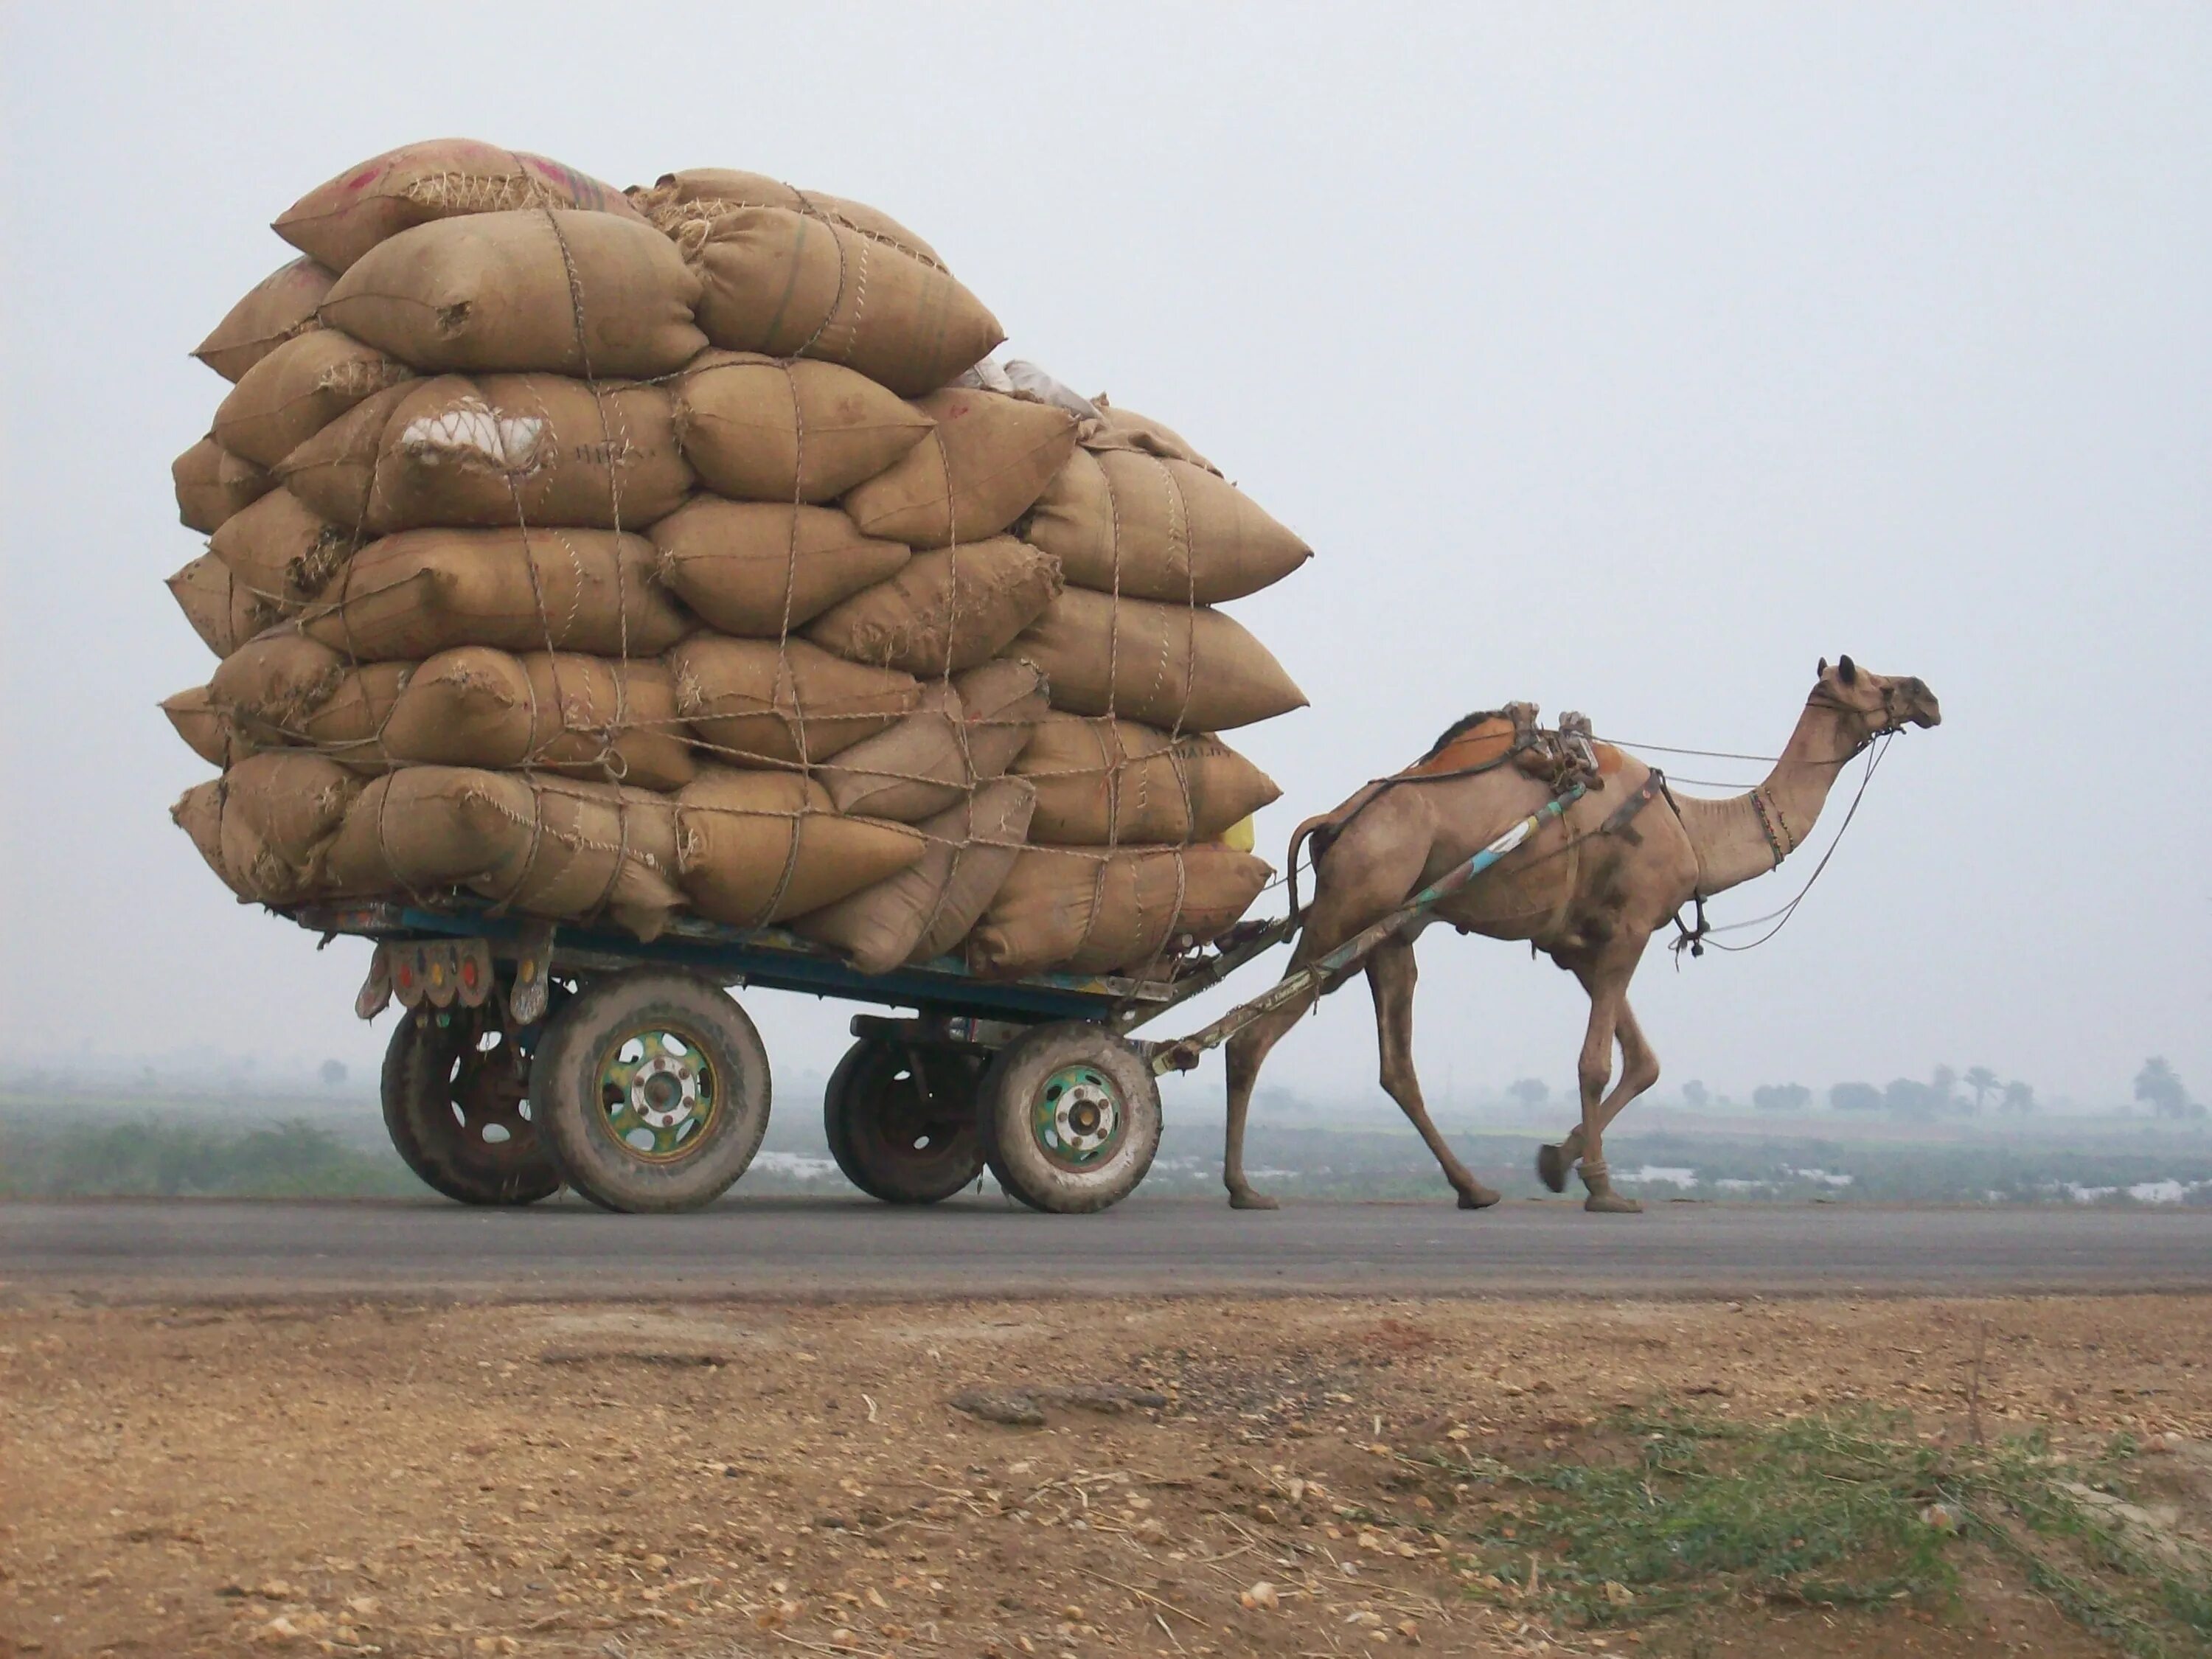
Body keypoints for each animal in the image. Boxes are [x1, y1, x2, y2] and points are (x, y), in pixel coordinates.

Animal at [1230, 655, 1938, 1212]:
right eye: (1867, 677)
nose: (1927, 695)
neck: (1693, 829)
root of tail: (1335, 821)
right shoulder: (1631, 928)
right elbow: (1596, 1062)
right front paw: (1602, 1186)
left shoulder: (1579, 946)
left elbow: (1644, 1062)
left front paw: (1555, 1162)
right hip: (1352, 903)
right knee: (1250, 1033)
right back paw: (1244, 1187)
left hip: (1391, 932)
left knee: (1395, 1066)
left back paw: (1472, 1188)